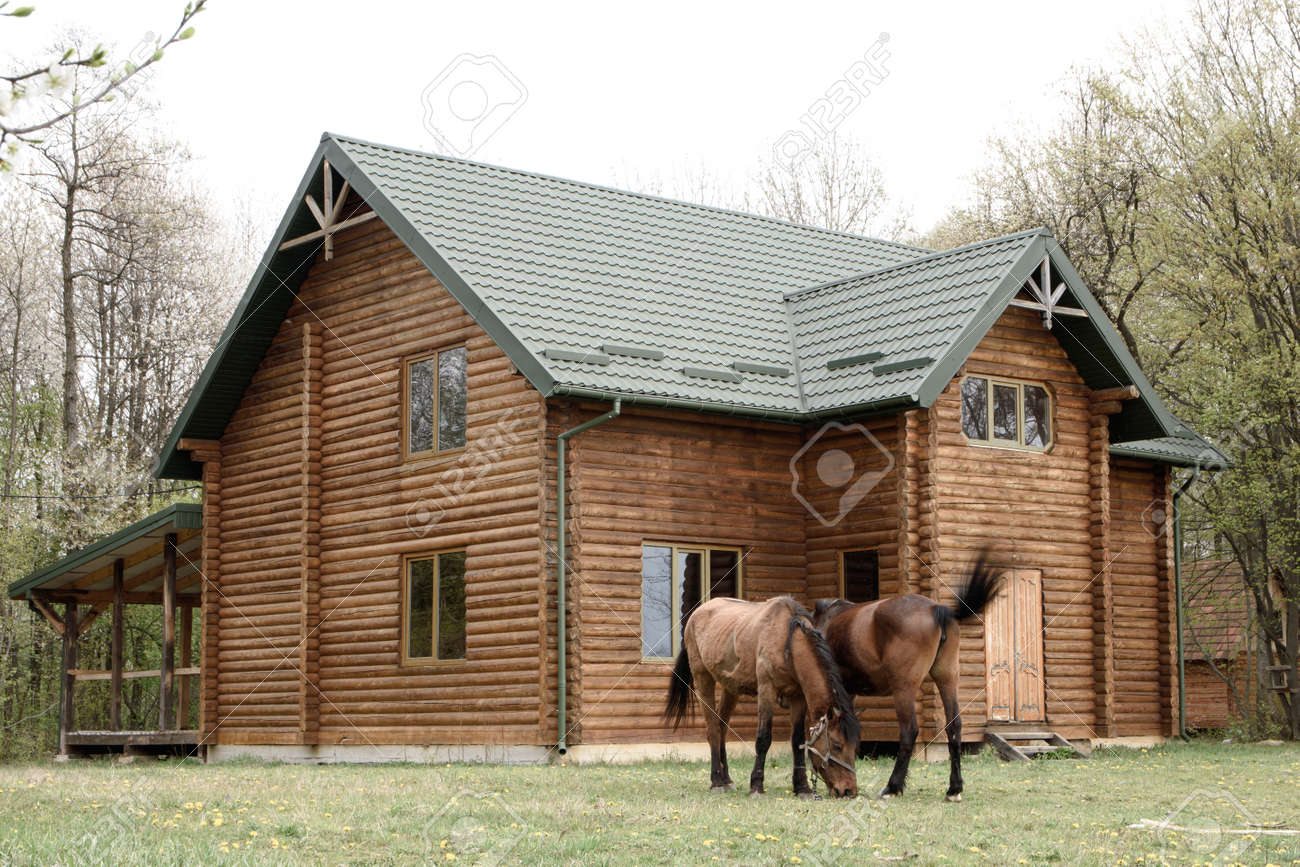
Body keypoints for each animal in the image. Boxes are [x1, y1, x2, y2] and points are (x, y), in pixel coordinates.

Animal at [664, 596, 860, 798]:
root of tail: (696, 614)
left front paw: (802, 788)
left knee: (721, 727)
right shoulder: (766, 690)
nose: (849, 790)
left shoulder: (798, 697)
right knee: (713, 730)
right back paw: (717, 781)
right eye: (837, 745)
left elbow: (797, 740)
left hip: (730, 688)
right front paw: (756, 786)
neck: (788, 640)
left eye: (855, 746)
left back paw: (727, 780)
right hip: (703, 679)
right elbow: (763, 739)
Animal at [810, 550, 999, 802]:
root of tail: (936, 609)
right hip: (947, 678)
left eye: (837, 745)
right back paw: (954, 788)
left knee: (909, 730)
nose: (846, 790)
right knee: (954, 726)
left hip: (904, 689)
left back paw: (893, 786)